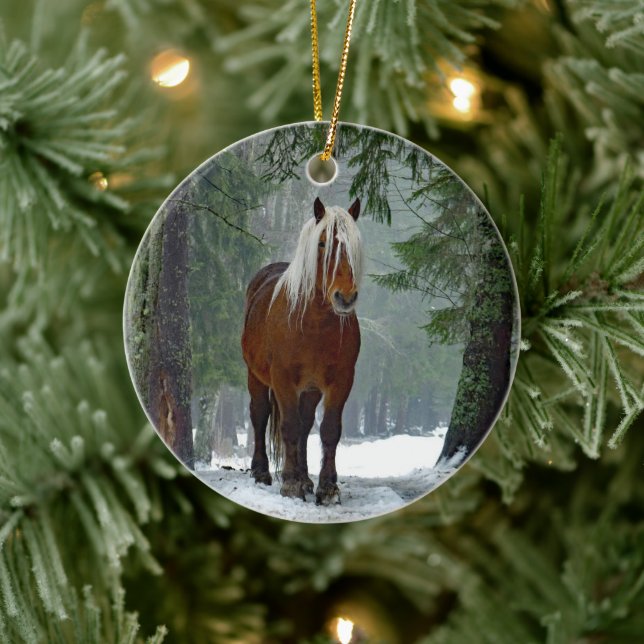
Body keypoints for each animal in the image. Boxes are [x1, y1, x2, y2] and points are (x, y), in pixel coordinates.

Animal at [241, 197, 363, 505]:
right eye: (322, 244)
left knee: (307, 425)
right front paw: (290, 484)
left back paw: (306, 478)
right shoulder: (283, 379)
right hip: (256, 376)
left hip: (310, 388)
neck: (313, 324)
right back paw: (262, 472)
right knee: (260, 415)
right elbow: (289, 427)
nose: (345, 297)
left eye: (355, 245)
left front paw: (327, 487)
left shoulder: (340, 381)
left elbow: (329, 430)